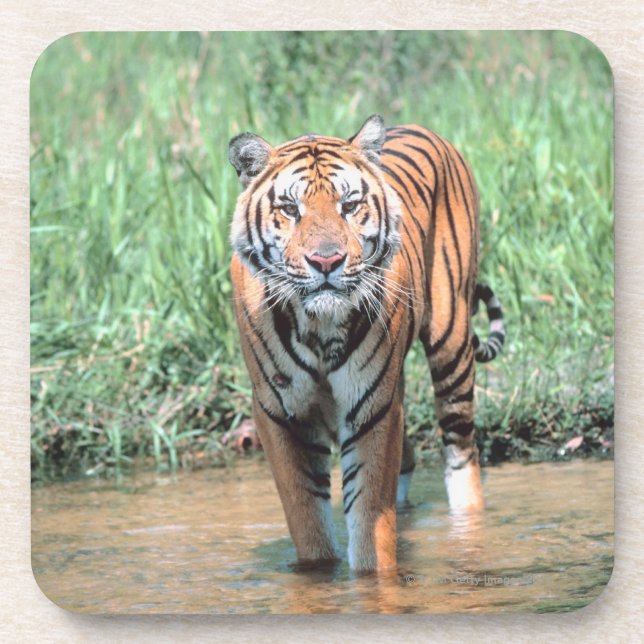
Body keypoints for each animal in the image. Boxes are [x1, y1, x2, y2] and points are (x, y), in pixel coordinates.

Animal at [228, 115, 505, 572]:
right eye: (290, 209)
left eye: (349, 205)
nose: (326, 261)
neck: (318, 325)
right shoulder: (280, 414)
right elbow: (308, 522)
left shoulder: (372, 410)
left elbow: (371, 522)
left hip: (451, 342)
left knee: (462, 450)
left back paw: (468, 530)